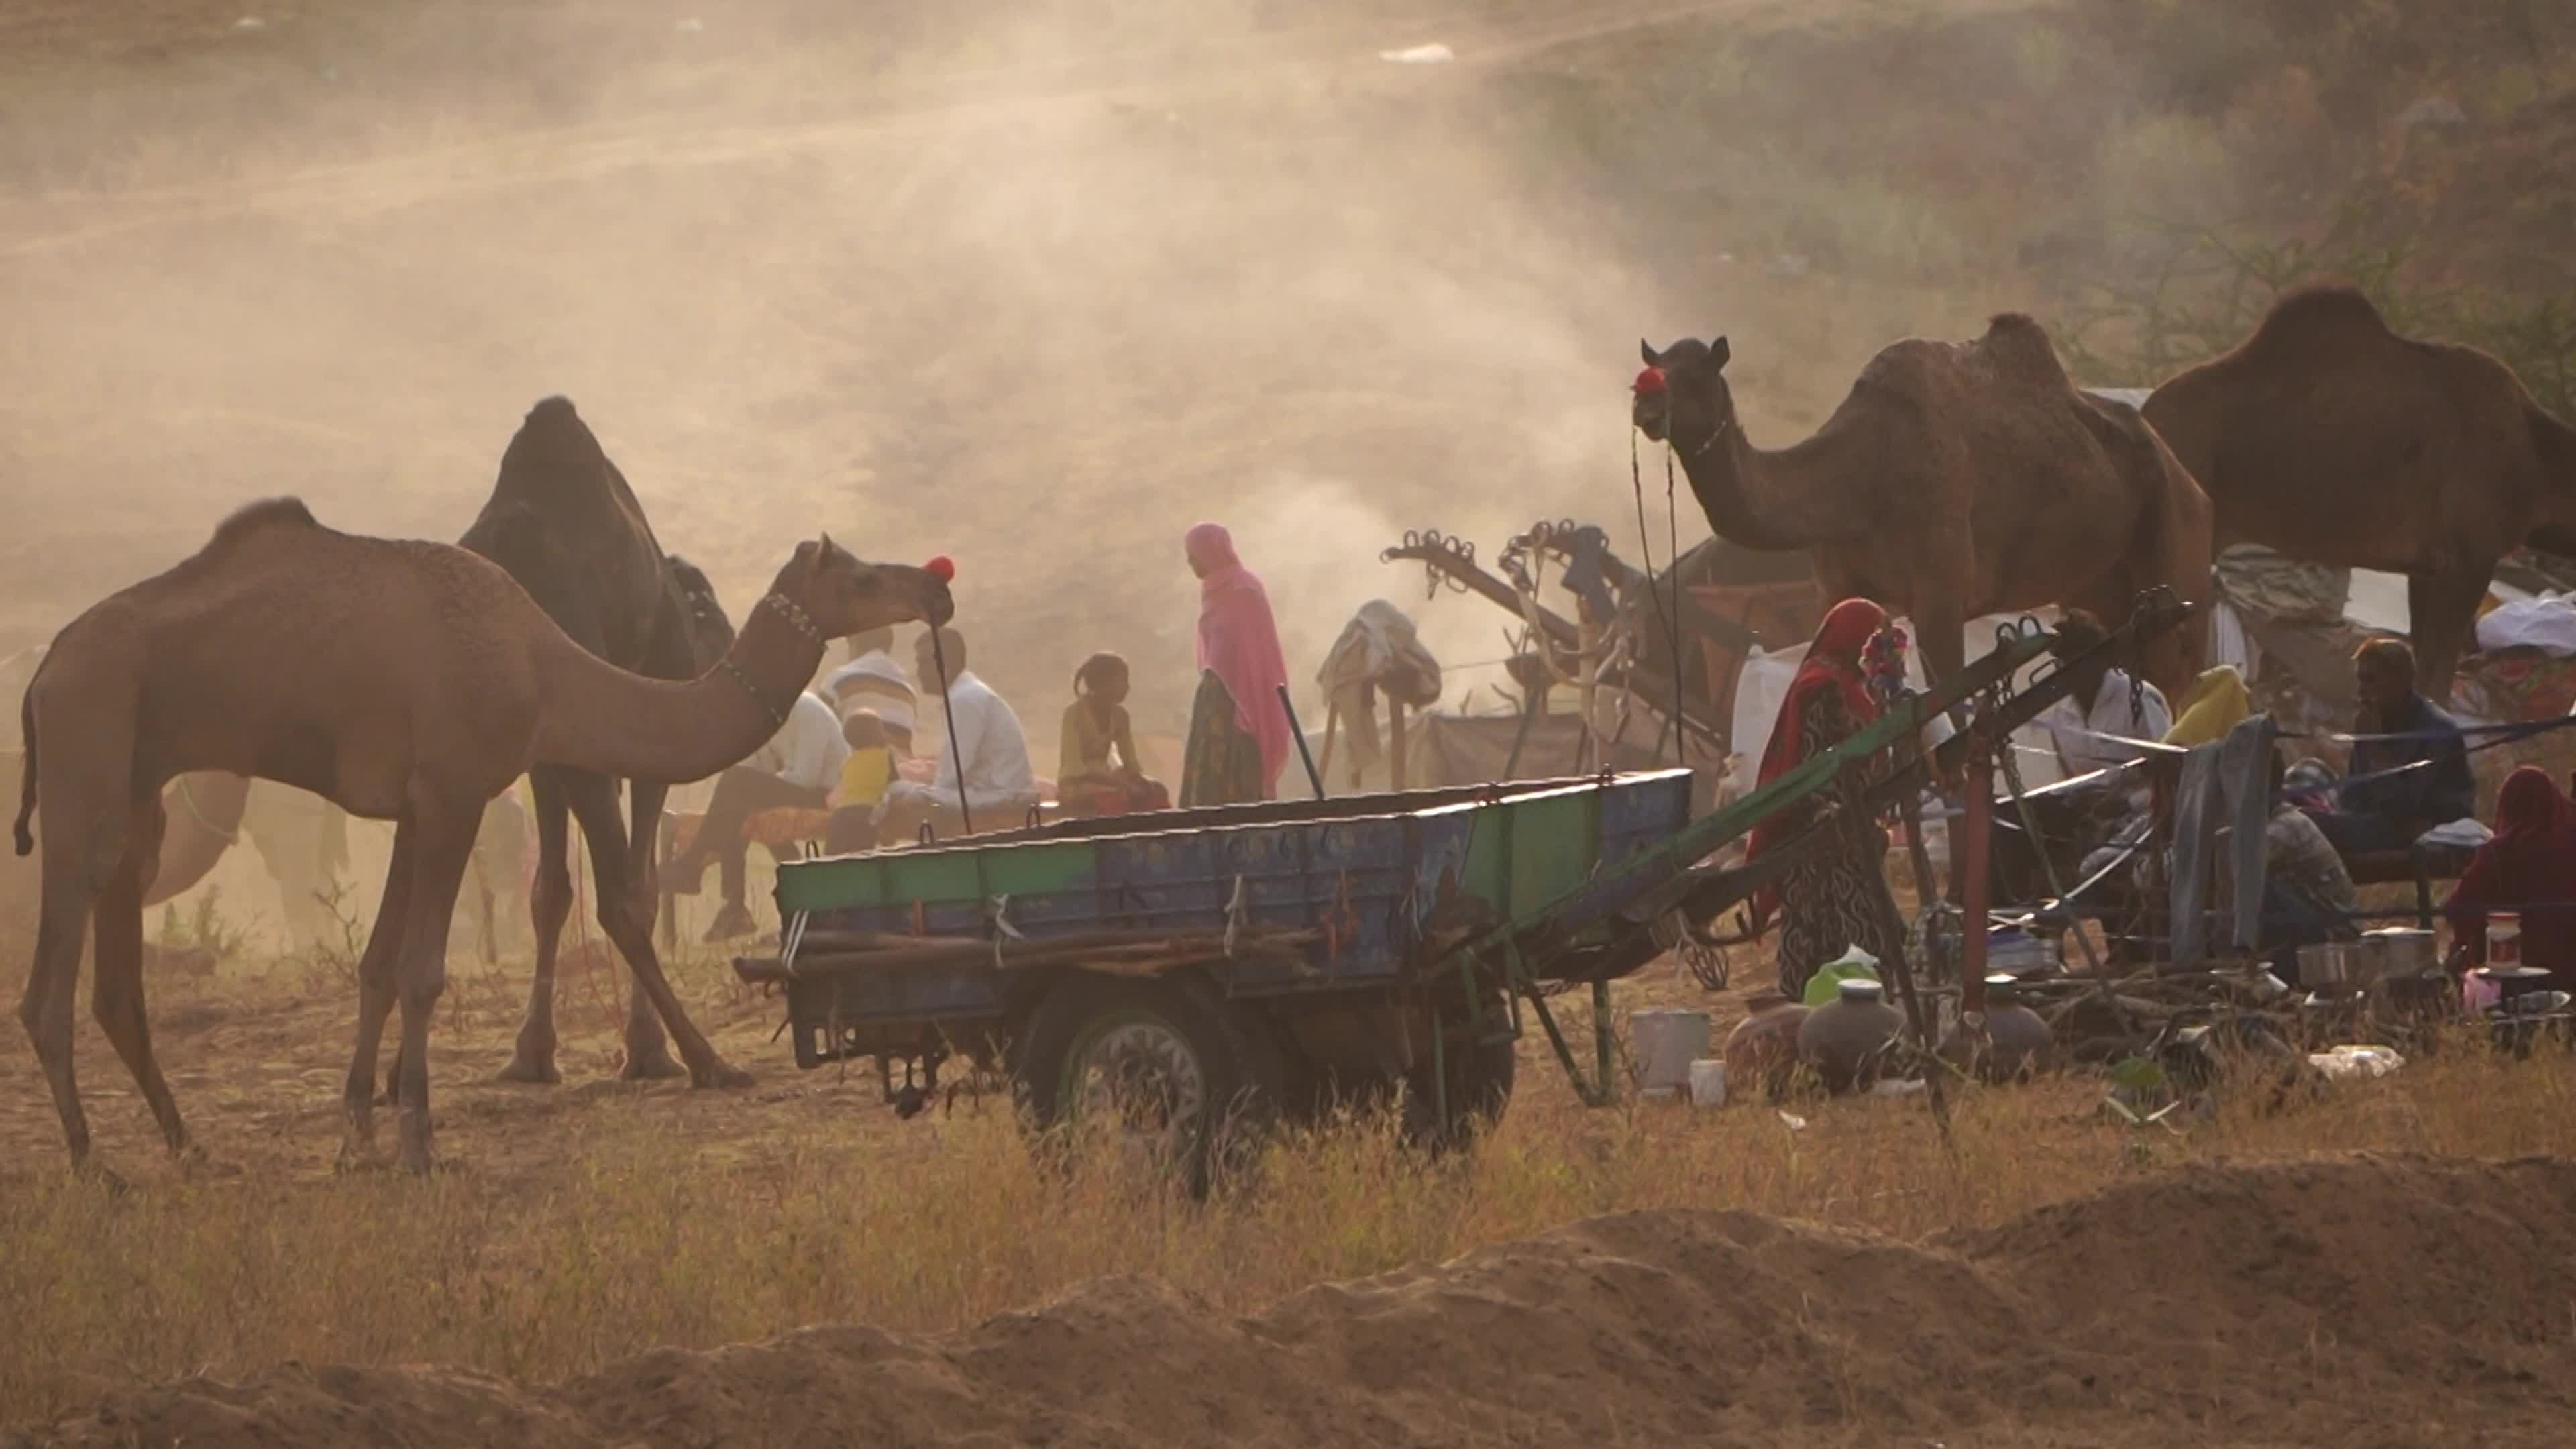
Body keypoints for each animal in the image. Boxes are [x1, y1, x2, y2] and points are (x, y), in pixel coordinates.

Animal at [14, 498, 951, 1176]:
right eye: (860, 576)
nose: (934, 585)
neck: (545, 663)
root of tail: (43, 670)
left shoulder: (412, 806)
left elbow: (377, 967)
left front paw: (358, 1136)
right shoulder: (455, 789)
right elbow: (423, 972)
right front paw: (419, 1144)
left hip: (139, 784)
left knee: (118, 979)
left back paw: (190, 1148)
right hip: (87, 749)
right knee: (47, 986)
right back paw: (94, 1167)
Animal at [1633, 317, 2213, 695]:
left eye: (1695, 376)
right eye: (1655, 365)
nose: (1645, 402)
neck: (1859, 475)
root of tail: (2189, 480)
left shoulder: (1942, 594)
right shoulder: (1837, 588)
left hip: (2179, 546)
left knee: (2179, 674)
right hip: (2101, 581)